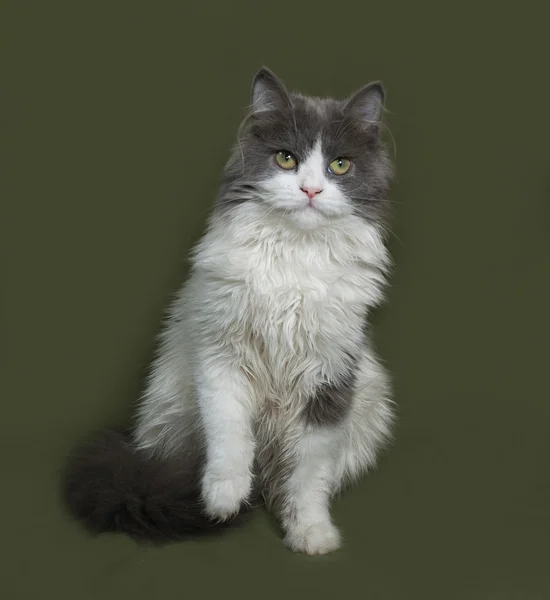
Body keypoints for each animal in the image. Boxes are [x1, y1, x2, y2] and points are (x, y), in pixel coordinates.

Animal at [66, 68, 396, 556]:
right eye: (285, 159)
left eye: (340, 166)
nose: (311, 190)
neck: (294, 258)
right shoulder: (222, 357)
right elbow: (230, 437)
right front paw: (222, 498)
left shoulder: (330, 379)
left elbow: (308, 475)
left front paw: (310, 532)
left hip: (369, 408)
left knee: (284, 482)